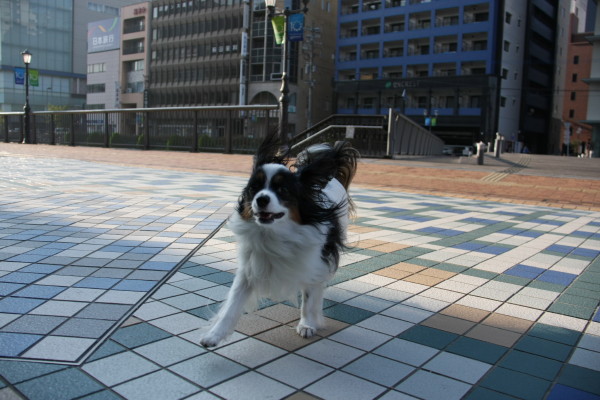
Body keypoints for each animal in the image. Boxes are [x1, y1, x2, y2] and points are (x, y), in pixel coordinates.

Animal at [199, 134, 358, 346]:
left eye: (282, 190)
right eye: (254, 189)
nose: (261, 199)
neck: (274, 234)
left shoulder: (314, 265)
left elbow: (309, 300)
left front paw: (307, 324)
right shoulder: (249, 269)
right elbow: (232, 305)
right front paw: (215, 334)